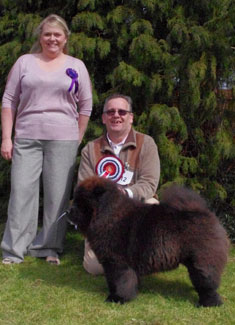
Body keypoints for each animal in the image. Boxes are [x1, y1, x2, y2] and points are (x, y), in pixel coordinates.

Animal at [68, 176, 229, 306]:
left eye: (80, 203)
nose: (68, 211)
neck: (110, 215)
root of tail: (205, 213)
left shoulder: (117, 263)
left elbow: (120, 282)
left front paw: (117, 298)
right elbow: (120, 281)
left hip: (202, 261)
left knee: (207, 284)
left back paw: (208, 303)